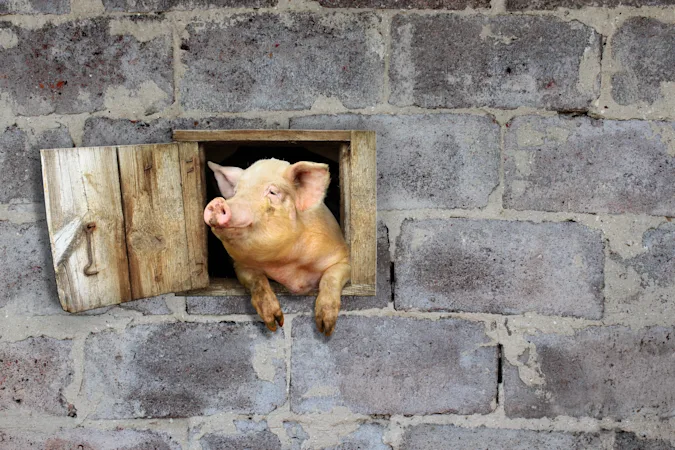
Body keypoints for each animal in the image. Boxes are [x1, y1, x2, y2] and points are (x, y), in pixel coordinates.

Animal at [203, 158, 350, 336]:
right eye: (237, 191)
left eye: (273, 192)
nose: (218, 202)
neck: (288, 267)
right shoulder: (241, 265)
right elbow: (256, 280)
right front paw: (275, 323)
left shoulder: (343, 257)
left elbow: (331, 277)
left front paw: (325, 328)